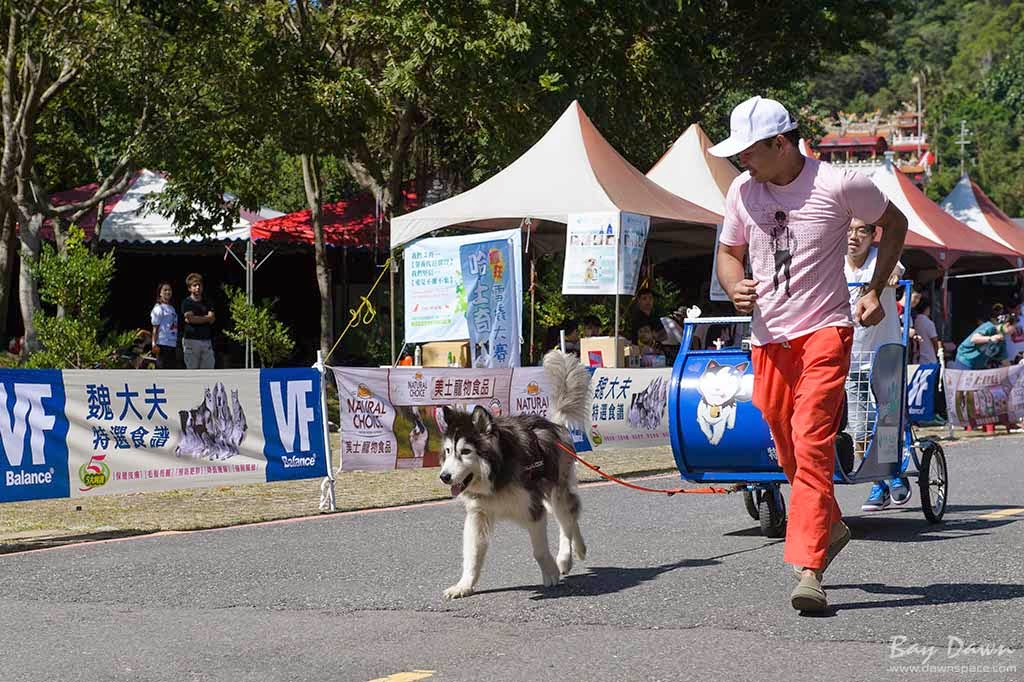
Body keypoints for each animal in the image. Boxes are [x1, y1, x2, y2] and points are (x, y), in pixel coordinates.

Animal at [440, 348, 593, 598]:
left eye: (465, 451)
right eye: (448, 451)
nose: (444, 477)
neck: (497, 473)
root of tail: (554, 424)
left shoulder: (533, 509)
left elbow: (539, 551)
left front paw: (551, 574)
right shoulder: (478, 515)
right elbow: (472, 555)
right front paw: (464, 585)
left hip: (555, 490)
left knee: (567, 517)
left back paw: (566, 557)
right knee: (571, 516)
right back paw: (577, 550)